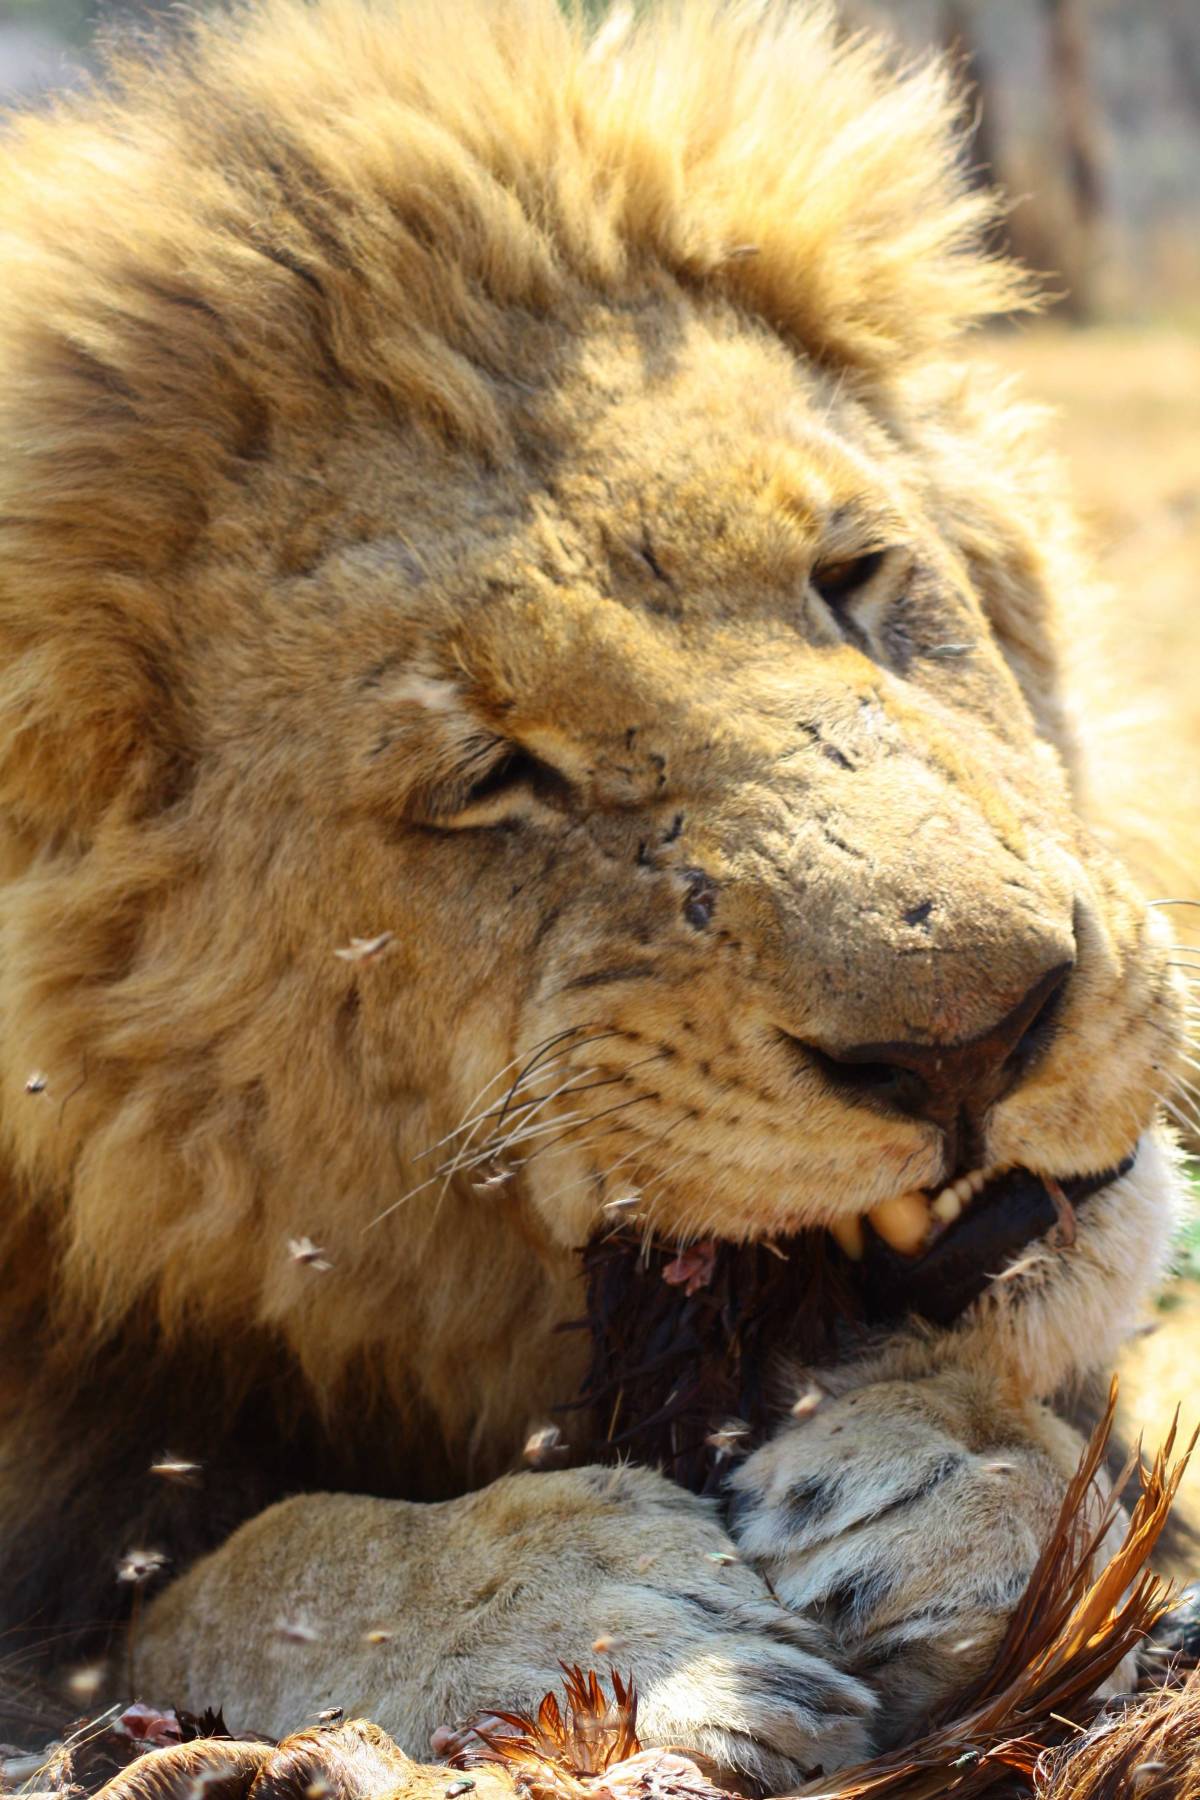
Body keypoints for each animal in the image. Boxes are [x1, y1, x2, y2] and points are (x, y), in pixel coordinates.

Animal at [0, 0, 1186, 1787]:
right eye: (495, 776)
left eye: (854, 574)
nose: (980, 1034)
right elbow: (235, 1574)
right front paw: (570, 1613)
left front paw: (951, 1478)